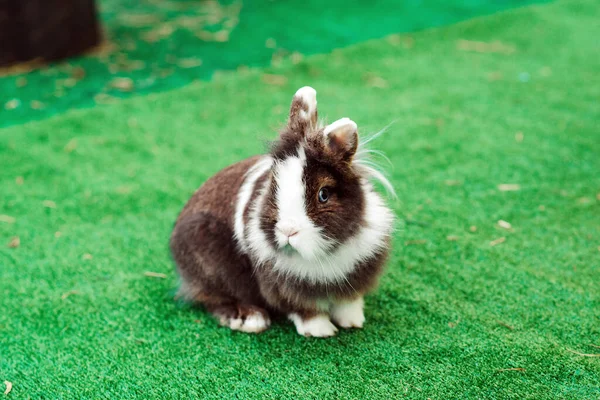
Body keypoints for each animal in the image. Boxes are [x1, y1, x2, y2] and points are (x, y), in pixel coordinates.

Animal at [169, 87, 394, 338]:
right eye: (273, 186)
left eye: (323, 194)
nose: (288, 231)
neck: (322, 254)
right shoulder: (285, 289)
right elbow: (305, 310)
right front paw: (320, 330)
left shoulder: (355, 277)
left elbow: (349, 303)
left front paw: (353, 322)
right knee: (213, 299)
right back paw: (250, 319)